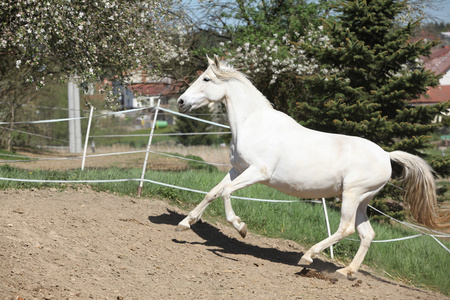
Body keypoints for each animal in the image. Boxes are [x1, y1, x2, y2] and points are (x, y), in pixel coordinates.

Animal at [174, 55, 438, 276]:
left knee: (346, 229)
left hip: (352, 195)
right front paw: (184, 224)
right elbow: (212, 193)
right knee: (367, 234)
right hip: (362, 201)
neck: (253, 123)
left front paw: (241, 227)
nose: (181, 101)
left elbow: (227, 193)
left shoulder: (258, 172)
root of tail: (386, 155)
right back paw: (346, 272)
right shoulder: (237, 169)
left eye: (206, 78)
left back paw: (308, 256)